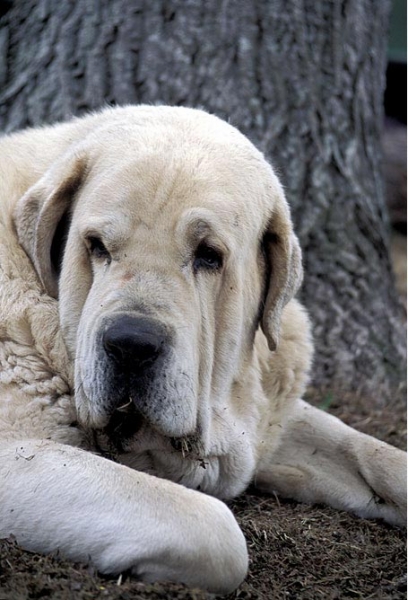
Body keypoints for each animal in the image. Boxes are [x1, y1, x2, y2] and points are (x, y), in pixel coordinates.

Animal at [0, 105, 406, 592]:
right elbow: (217, 531)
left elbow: (378, 455)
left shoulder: (269, 417)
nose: (130, 344)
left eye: (208, 255)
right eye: (96, 247)